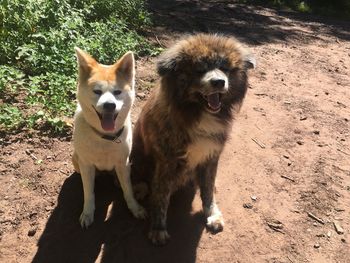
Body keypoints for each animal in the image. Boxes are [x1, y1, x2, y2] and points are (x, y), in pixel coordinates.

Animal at [73, 48, 146, 229]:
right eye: (97, 91)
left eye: (117, 92)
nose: (109, 105)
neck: (104, 137)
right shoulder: (86, 164)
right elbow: (88, 193)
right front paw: (87, 212)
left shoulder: (123, 163)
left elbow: (128, 190)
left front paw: (135, 208)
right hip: (76, 160)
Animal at [131, 33, 254, 245]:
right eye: (200, 70)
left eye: (225, 68)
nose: (219, 82)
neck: (198, 113)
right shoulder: (167, 160)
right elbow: (161, 196)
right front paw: (158, 228)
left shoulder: (211, 155)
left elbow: (207, 189)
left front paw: (212, 214)